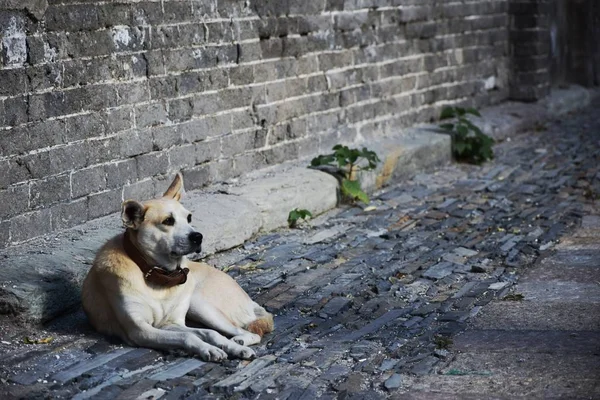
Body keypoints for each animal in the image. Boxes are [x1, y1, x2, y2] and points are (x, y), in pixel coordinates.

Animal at [82, 173, 274, 360]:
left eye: (189, 218)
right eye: (168, 221)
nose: (198, 237)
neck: (158, 275)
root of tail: (250, 300)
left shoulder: (168, 323)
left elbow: (208, 333)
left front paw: (229, 347)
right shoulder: (142, 330)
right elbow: (190, 336)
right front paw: (208, 349)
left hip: (198, 302)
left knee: (248, 332)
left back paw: (239, 343)